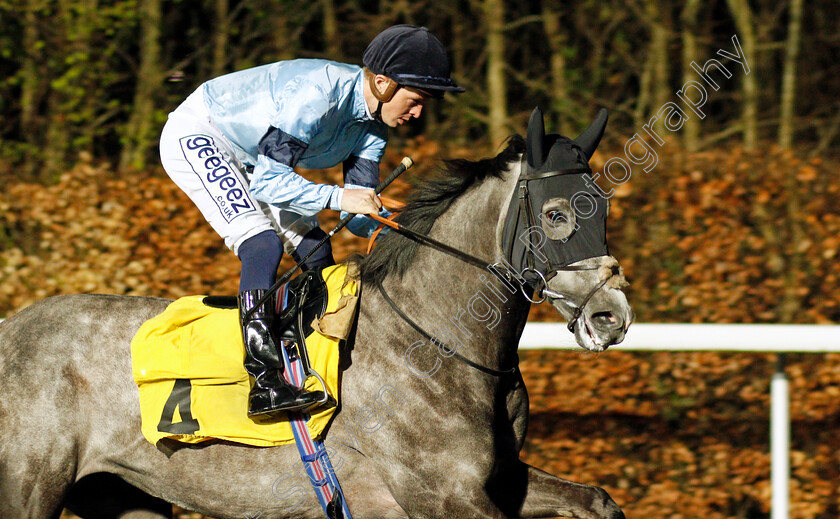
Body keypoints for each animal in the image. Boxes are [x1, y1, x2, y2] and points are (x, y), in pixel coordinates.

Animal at [0, 107, 632, 516]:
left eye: (603, 206)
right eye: (556, 214)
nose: (612, 315)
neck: (434, 340)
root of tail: (11, 327)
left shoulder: (500, 479)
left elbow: (599, 501)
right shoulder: (441, 493)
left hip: (124, 492)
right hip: (29, 486)